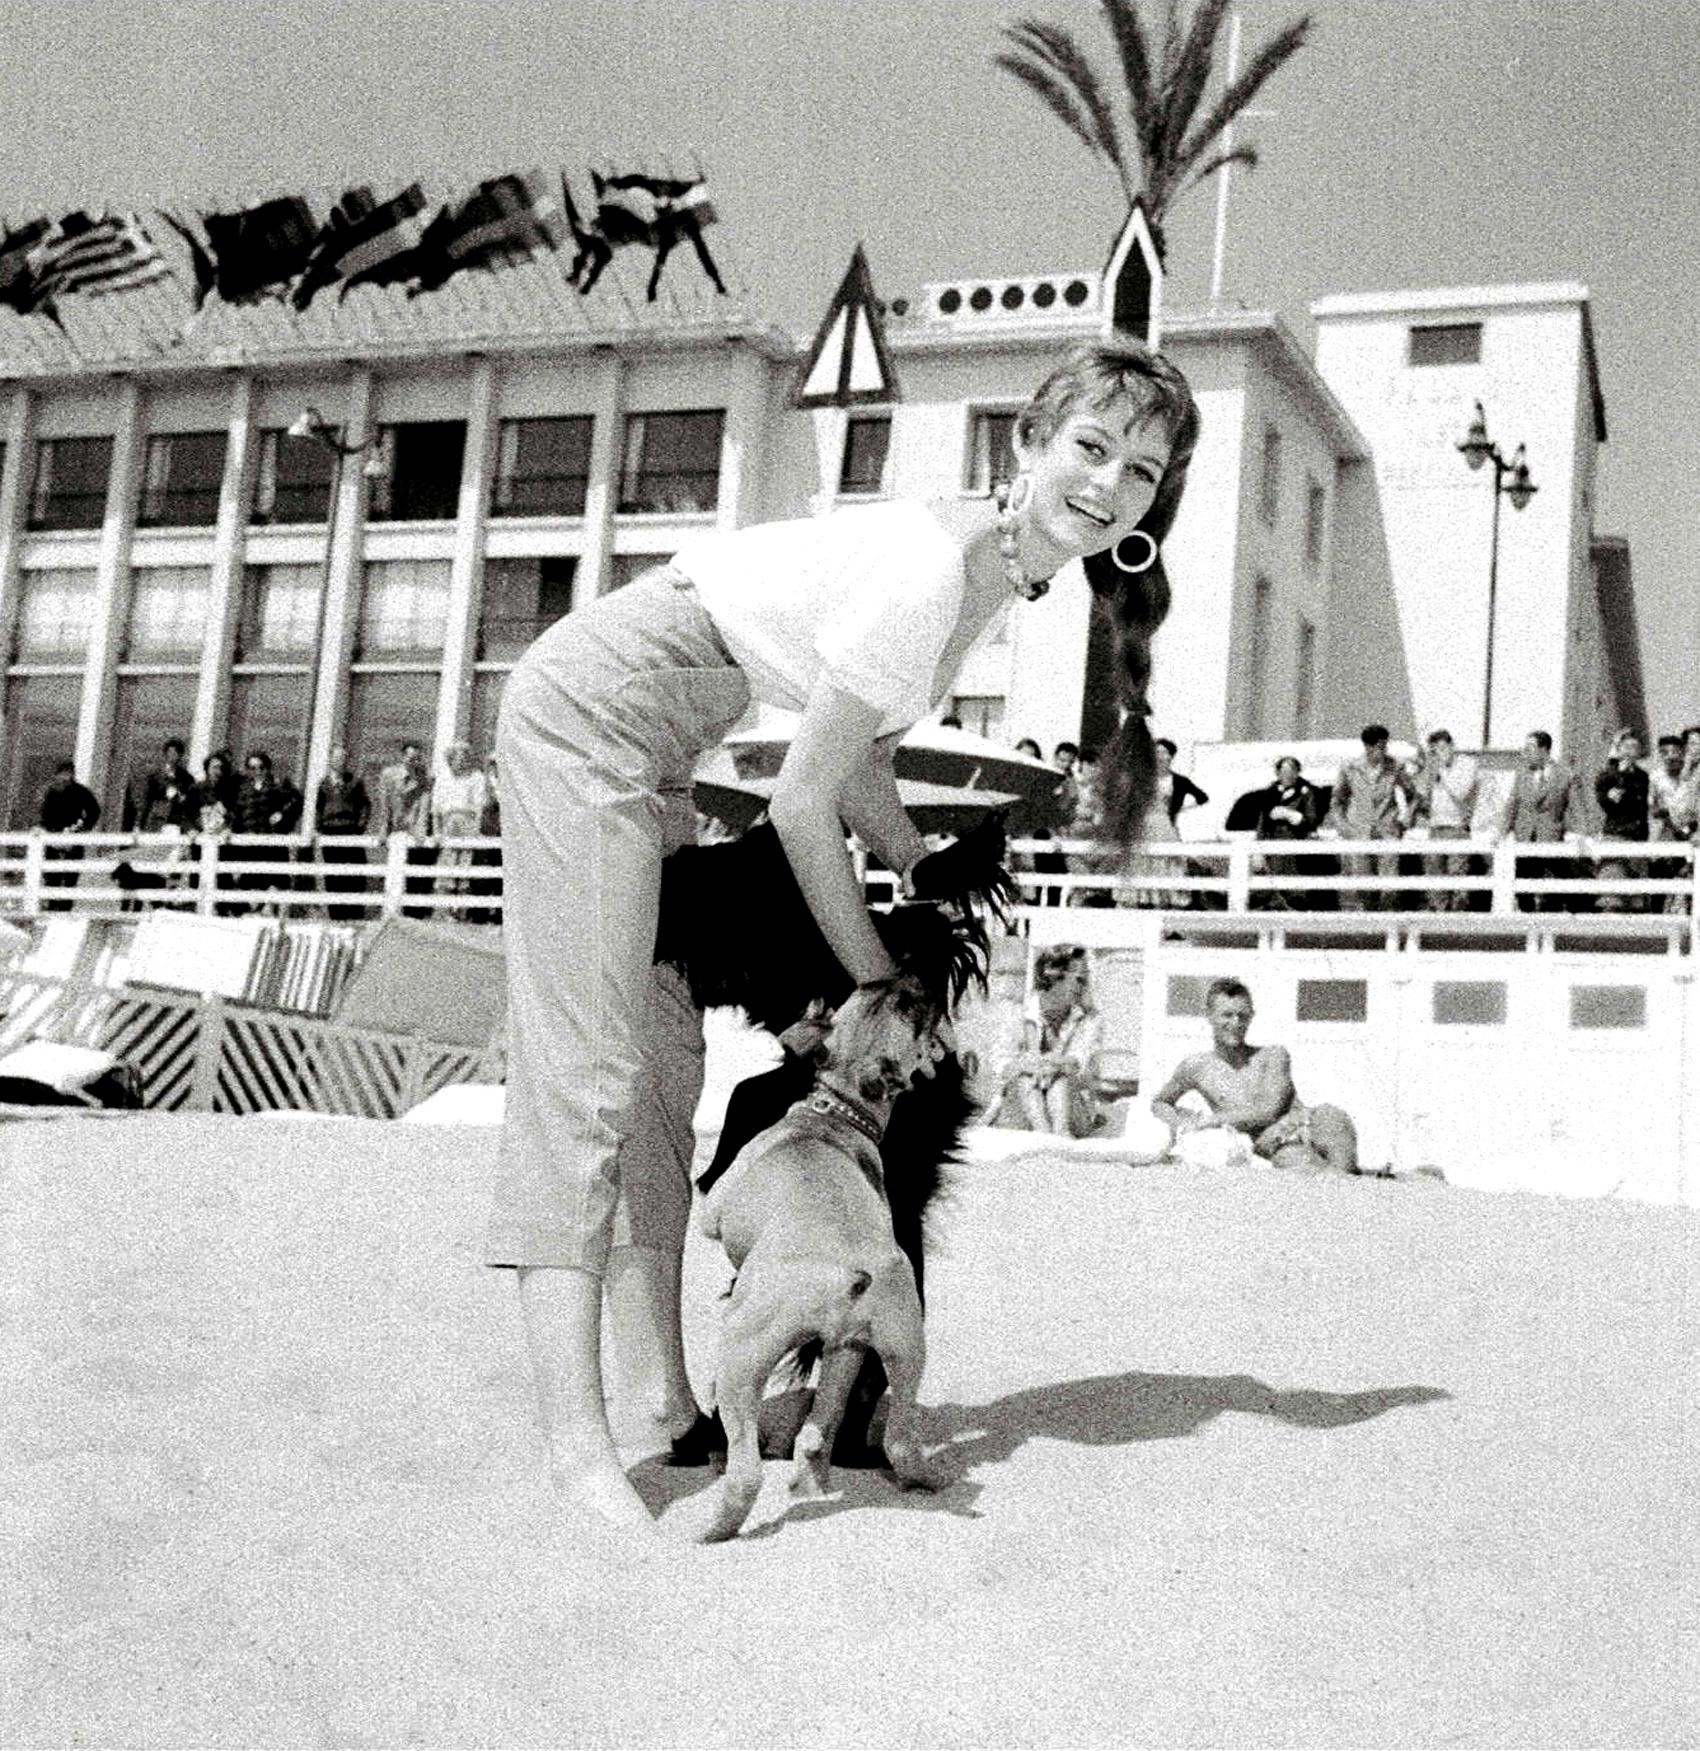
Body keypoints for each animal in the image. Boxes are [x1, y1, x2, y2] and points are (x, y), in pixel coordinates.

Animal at [654, 808, 1008, 1463]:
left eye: (711, 881)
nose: (664, 871)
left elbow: (750, 1092)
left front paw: (715, 1168)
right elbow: (753, 1087)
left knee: (865, 1379)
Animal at [689, 980, 959, 1540]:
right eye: (878, 992)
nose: (915, 980)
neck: (834, 1113)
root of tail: (845, 1273)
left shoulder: (715, 1212)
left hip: (743, 1356)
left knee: (745, 1470)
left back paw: (715, 1531)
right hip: (887, 1349)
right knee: (879, 1438)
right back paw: (915, 1482)